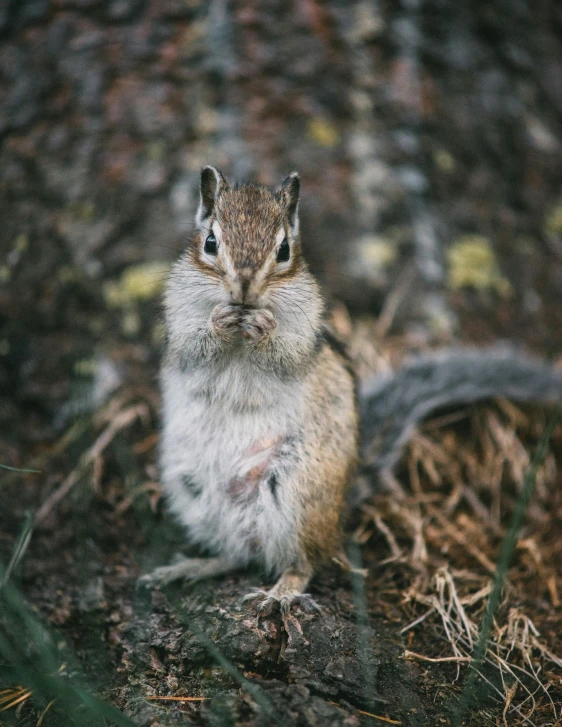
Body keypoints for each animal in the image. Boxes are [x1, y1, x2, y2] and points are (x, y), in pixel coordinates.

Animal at [137, 166, 560, 616]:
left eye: (283, 249)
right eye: (211, 243)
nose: (245, 290)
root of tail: (339, 509)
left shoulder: (303, 337)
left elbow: (284, 353)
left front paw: (263, 326)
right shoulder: (180, 326)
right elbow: (196, 345)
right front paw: (220, 320)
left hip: (296, 492)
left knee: (300, 561)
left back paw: (279, 593)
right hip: (194, 493)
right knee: (238, 553)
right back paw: (189, 568)